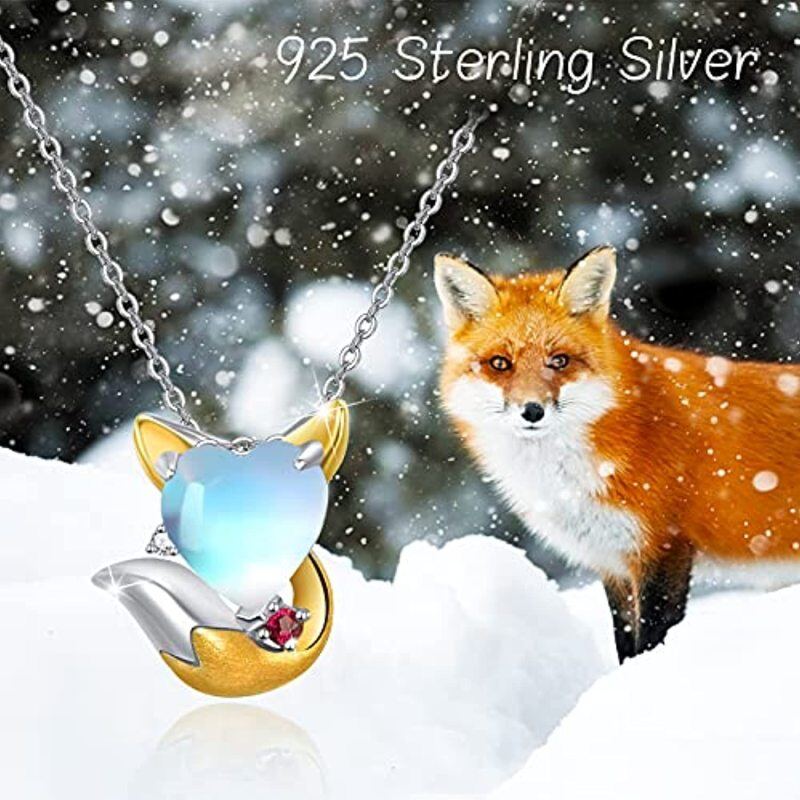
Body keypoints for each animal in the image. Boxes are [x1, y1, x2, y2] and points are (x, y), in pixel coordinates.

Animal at [434, 245, 800, 661]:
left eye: (559, 360)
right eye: (500, 363)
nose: (532, 411)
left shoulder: (663, 548)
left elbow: (653, 639)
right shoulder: (611, 560)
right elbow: (625, 642)